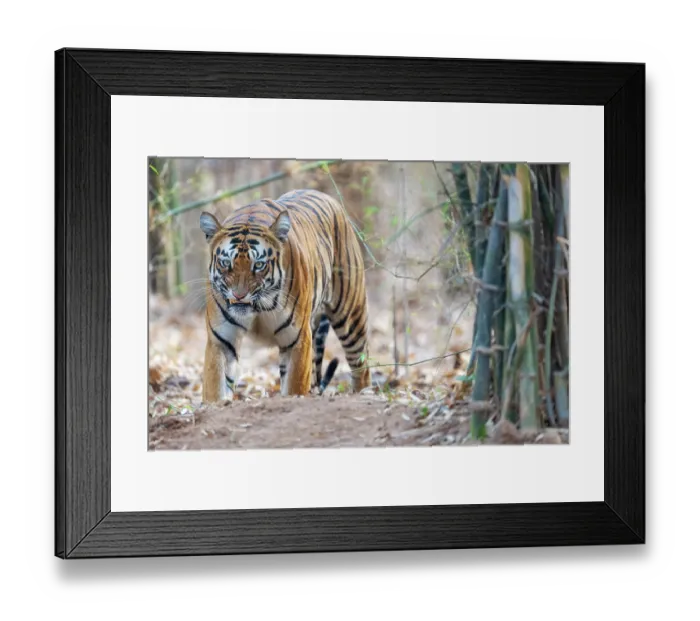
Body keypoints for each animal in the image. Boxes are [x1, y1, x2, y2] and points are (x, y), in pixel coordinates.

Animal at [199, 188, 371, 403]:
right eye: (225, 263)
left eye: (259, 265)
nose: (239, 295)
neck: (257, 307)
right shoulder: (221, 340)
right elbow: (215, 387)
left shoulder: (297, 339)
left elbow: (295, 386)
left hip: (350, 316)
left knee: (361, 363)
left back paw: (364, 393)